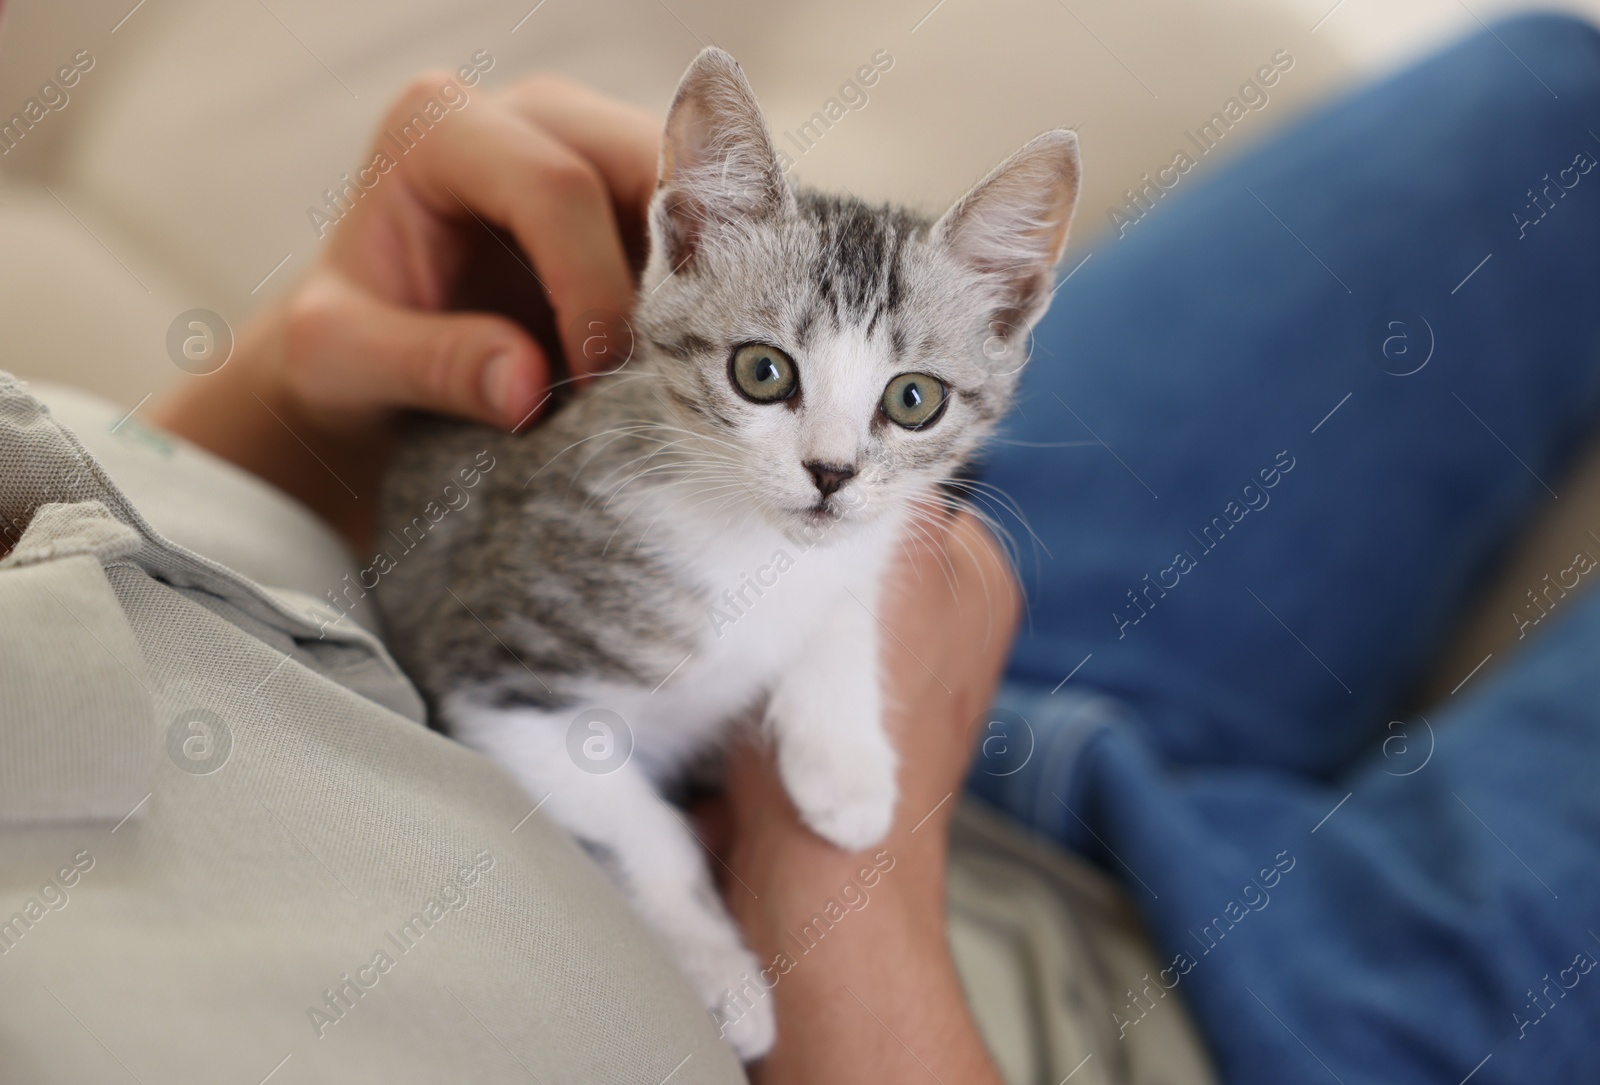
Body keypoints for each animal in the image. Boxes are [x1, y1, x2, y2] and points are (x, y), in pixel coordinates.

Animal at [372, 46, 1075, 1056]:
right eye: (762, 371)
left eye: (914, 399)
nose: (831, 472)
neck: (747, 547)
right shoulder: (488, 668)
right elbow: (645, 828)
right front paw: (720, 975)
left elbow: (846, 597)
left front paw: (845, 765)